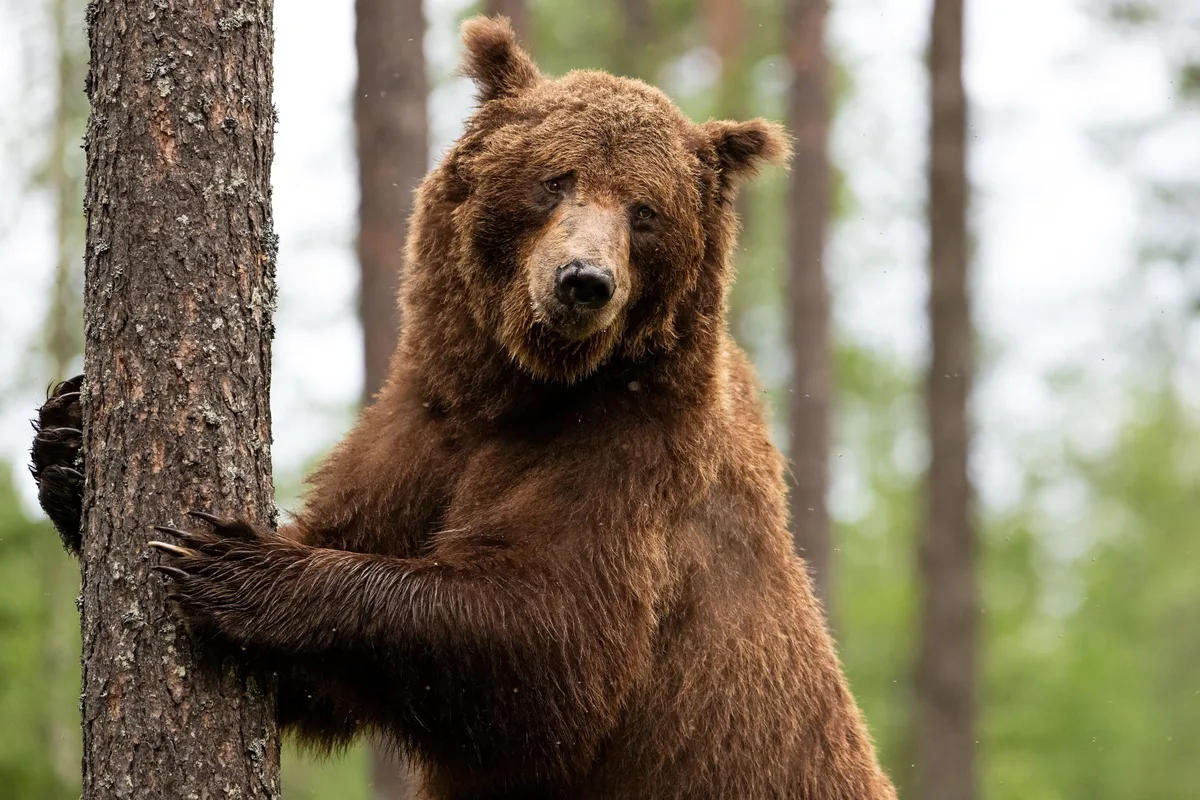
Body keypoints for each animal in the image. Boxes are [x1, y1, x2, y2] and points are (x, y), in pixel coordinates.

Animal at [30, 16, 897, 800]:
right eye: (556, 179)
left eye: (644, 211)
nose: (584, 281)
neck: (516, 387)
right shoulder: (424, 428)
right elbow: (316, 674)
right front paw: (69, 445)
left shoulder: (627, 456)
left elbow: (550, 649)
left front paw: (230, 561)